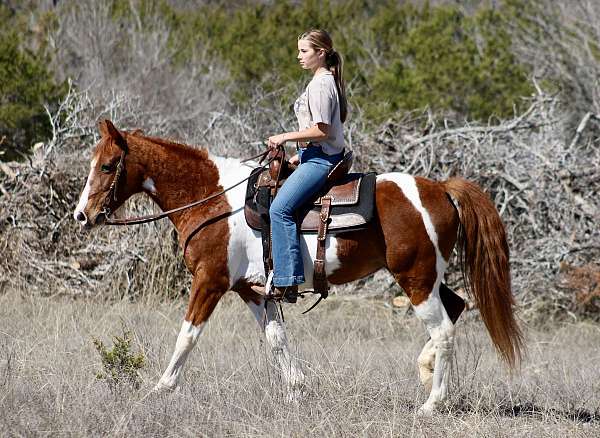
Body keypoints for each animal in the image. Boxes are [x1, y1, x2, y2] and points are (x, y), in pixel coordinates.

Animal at [72, 120, 524, 414]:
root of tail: (442, 189)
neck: (213, 200)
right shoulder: (252, 289)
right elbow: (276, 339)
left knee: (444, 329)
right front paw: (297, 391)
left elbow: (187, 336)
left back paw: (432, 403)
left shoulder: (210, 281)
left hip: (415, 278)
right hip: (428, 278)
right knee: (456, 307)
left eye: (108, 165)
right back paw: (426, 371)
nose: (81, 215)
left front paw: (159, 389)